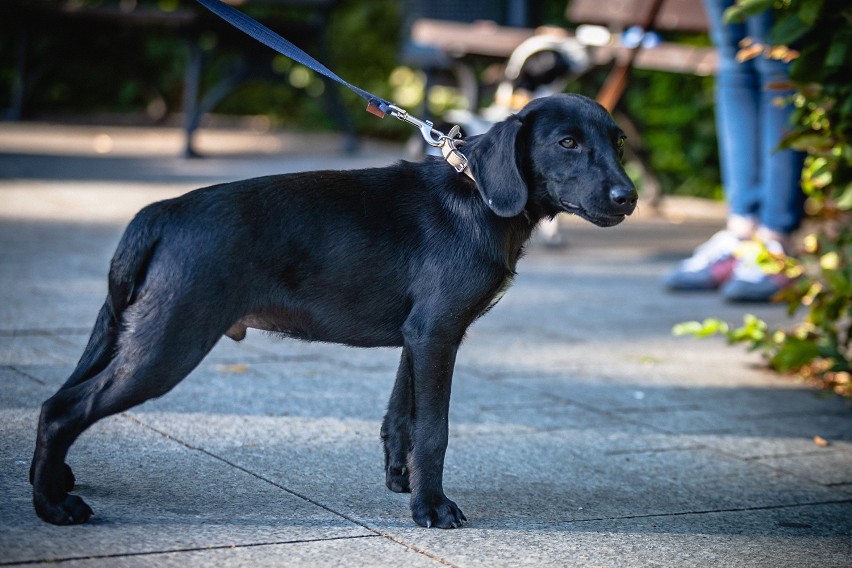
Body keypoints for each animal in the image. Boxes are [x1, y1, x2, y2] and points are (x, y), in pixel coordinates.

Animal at [31, 94, 632, 528]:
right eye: (568, 142)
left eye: (619, 143)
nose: (628, 197)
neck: (477, 196)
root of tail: (159, 213)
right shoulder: (436, 333)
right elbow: (433, 429)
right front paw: (432, 509)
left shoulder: (420, 336)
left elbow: (402, 417)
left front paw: (401, 482)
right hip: (168, 343)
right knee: (64, 409)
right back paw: (52, 509)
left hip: (123, 331)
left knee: (55, 402)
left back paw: (54, 482)